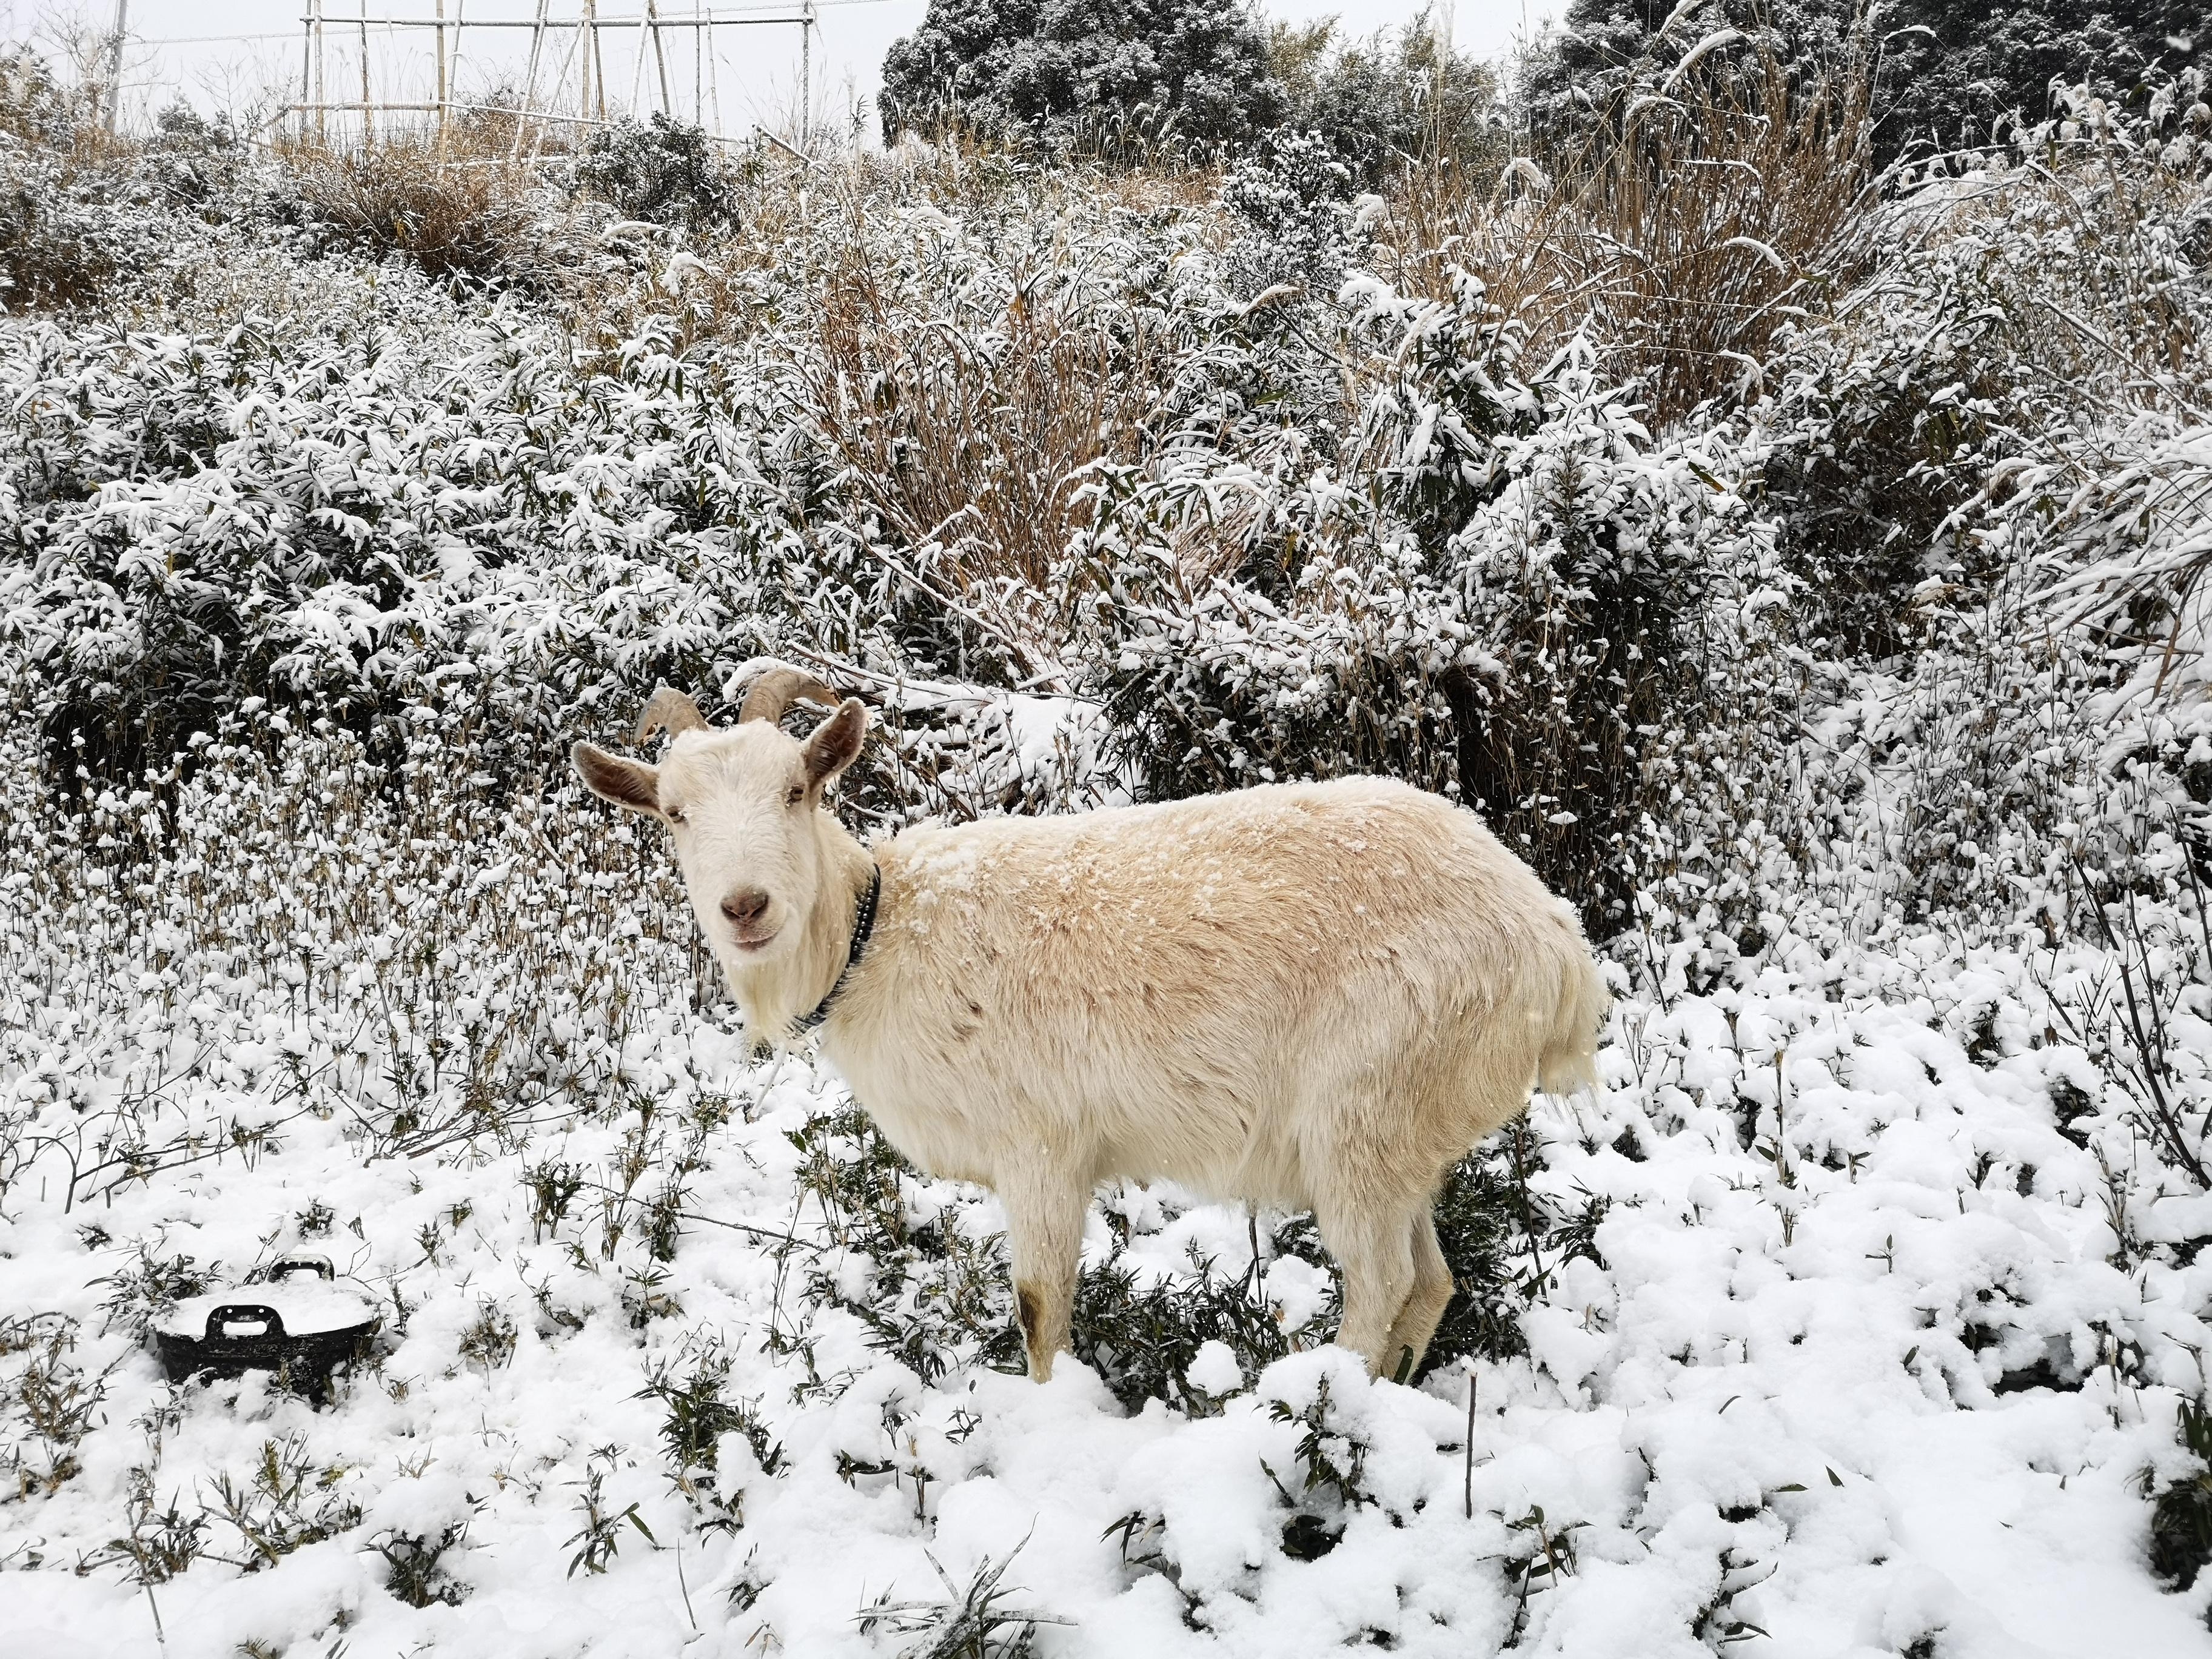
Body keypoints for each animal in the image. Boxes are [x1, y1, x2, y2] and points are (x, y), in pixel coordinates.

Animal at [571, 668, 1610, 1380]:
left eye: (797, 789)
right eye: (674, 813)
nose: (745, 907)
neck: (881, 932)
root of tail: (1554, 946)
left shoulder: (1041, 1146)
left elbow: (1040, 1308)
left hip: (1364, 1109)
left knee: (1383, 1283)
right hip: (1407, 1136)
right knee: (1430, 1282)